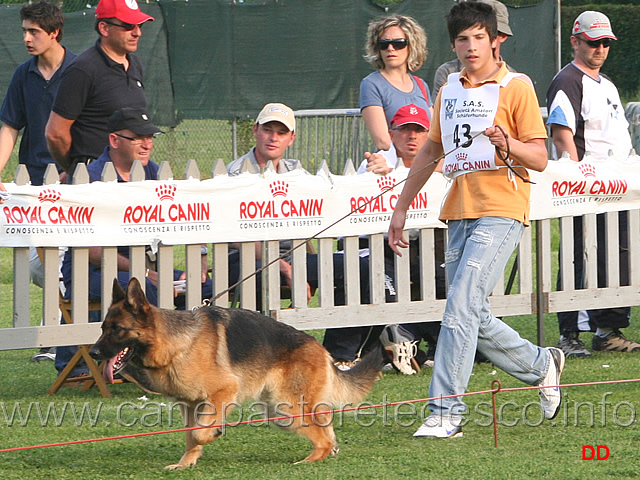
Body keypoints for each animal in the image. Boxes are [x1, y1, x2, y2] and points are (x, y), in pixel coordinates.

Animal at [89, 278, 380, 468]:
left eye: (117, 329)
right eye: (102, 328)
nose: (92, 352)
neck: (175, 343)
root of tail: (320, 348)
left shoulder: (224, 391)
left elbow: (199, 432)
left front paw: (213, 433)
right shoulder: (190, 404)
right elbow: (190, 435)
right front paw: (185, 463)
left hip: (285, 407)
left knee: (322, 438)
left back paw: (307, 462)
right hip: (281, 409)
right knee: (325, 425)